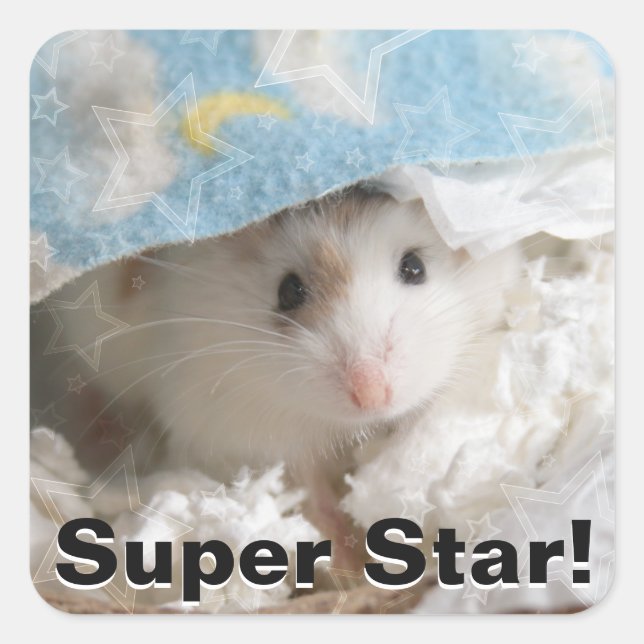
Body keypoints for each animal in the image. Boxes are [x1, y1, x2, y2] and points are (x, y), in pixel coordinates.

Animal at [36, 186, 520, 569]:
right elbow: (308, 490)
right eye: (288, 292)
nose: (372, 395)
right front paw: (350, 560)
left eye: (415, 267)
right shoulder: (251, 432)